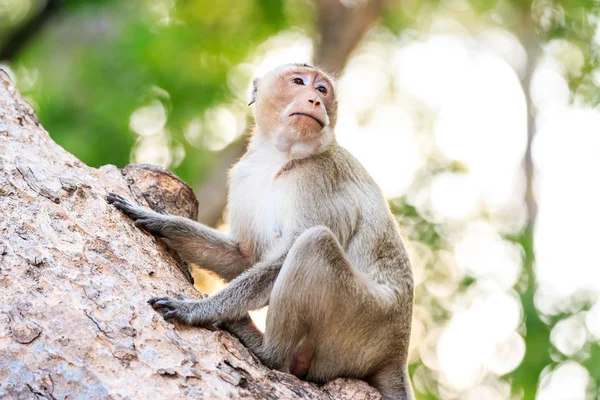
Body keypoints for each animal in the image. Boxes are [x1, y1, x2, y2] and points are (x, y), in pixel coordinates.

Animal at [106, 64, 412, 398]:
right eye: (299, 82)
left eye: (322, 90)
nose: (315, 100)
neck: (280, 157)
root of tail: (397, 352)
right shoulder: (243, 175)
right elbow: (244, 257)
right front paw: (158, 220)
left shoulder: (321, 177)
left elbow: (282, 258)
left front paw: (199, 309)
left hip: (364, 321)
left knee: (314, 243)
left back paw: (267, 352)